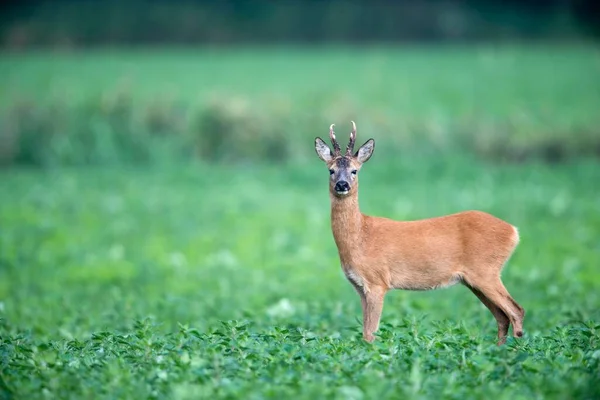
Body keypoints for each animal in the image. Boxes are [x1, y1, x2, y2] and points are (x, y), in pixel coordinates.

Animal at [316, 121, 524, 344]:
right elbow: (365, 331)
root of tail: (513, 231)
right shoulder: (360, 286)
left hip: (486, 270)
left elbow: (371, 333)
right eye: (331, 170)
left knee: (516, 311)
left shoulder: (377, 281)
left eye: (354, 171)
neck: (360, 236)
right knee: (502, 316)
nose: (342, 184)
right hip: (476, 279)